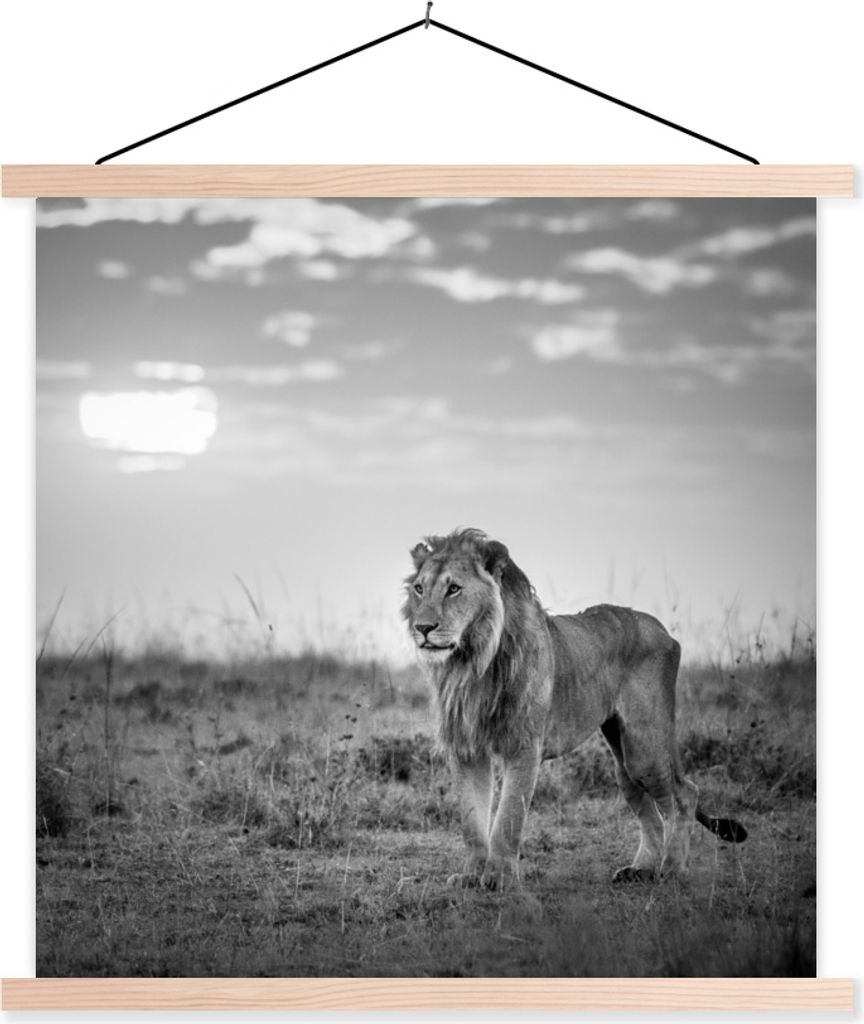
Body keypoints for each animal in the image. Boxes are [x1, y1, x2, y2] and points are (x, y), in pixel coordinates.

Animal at [403, 527, 746, 889]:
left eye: (454, 589)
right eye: (419, 588)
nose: (422, 628)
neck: (472, 662)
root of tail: (663, 630)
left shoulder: (524, 746)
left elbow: (509, 818)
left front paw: (499, 878)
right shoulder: (467, 748)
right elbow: (472, 820)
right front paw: (471, 876)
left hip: (645, 749)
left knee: (685, 794)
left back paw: (672, 870)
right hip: (622, 760)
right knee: (650, 812)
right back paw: (640, 870)